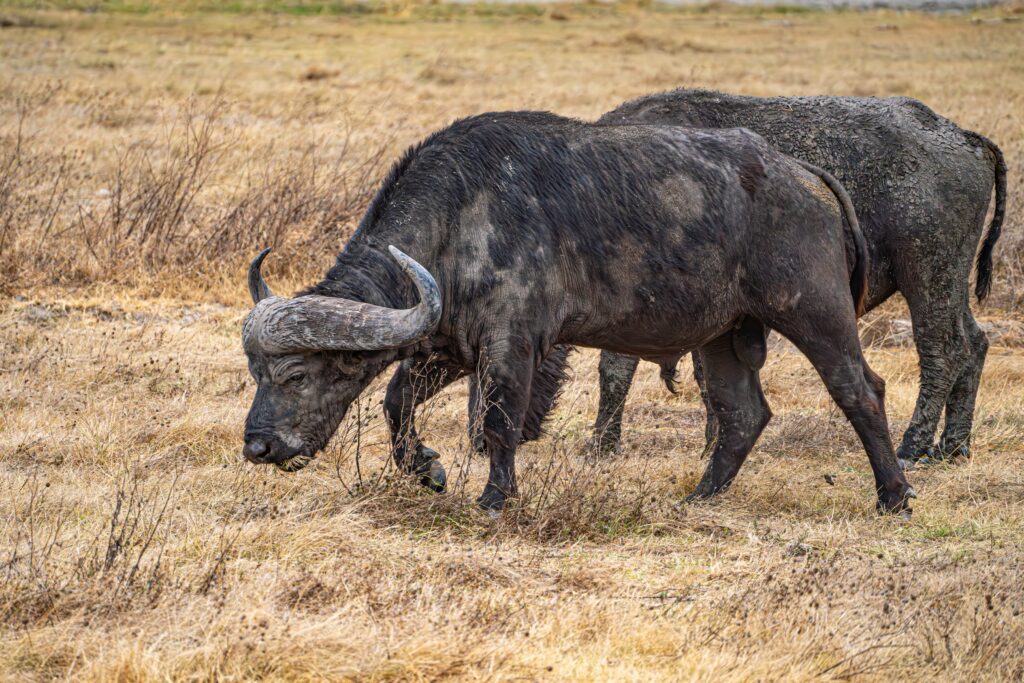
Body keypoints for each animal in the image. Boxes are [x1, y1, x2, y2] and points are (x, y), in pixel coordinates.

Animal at [243, 112, 917, 516]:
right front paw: (427, 471)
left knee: (861, 389)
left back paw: (894, 494)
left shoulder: (512, 346)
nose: (257, 446)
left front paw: (493, 498)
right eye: (256, 374)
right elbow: (394, 401)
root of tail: (801, 173)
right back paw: (700, 497)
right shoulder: (451, 344)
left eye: (296, 374)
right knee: (743, 414)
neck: (460, 219)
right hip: (725, 335)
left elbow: (499, 423)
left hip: (816, 312)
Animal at [589, 88, 1003, 462]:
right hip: (951, 277)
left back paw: (912, 447)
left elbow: (617, 369)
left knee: (944, 349)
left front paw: (602, 447)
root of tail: (965, 137)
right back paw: (953, 446)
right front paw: (712, 445)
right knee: (975, 342)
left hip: (927, 270)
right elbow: (706, 377)